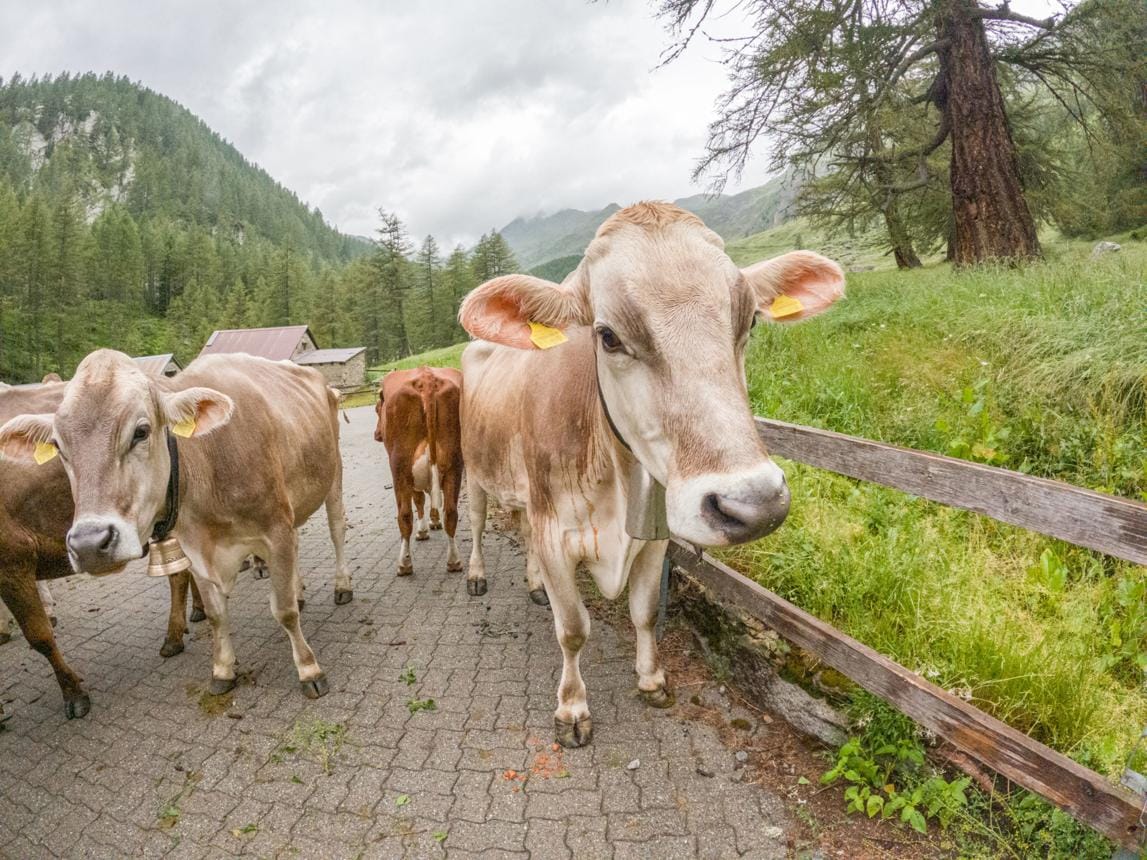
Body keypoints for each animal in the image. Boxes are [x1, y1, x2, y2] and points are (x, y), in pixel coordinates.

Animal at [0, 350, 353, 701]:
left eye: (141, 431)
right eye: (59, 446)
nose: (89, 544)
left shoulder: (275, 530)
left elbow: (284, 611)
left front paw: (309, 669)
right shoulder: (194, 545)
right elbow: (216, 614)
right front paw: (222, 670)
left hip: (333, 474)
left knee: (336, 530)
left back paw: (342, 586)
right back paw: (299, 589)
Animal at [374, 367, 464, 578]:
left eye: (377, 409)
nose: (377, 434)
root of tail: (426, 376)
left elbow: (419, 500)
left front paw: (423, 530)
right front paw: (434, 521)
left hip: (400, 467)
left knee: (405, 515)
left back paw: (405, 563)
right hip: (455, 464)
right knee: (451, 512)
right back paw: (454, 561)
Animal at [458, 202, 844, 747]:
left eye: (749, 320)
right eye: (607, 335)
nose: (756, 504)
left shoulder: (654, 538)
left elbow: (644, 611)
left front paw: (652, 679)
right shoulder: (556, 532)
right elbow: (572, 627)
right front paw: (572, 709)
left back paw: (534, 585)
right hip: (474, 472)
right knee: (473, 523)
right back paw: (475, 575)